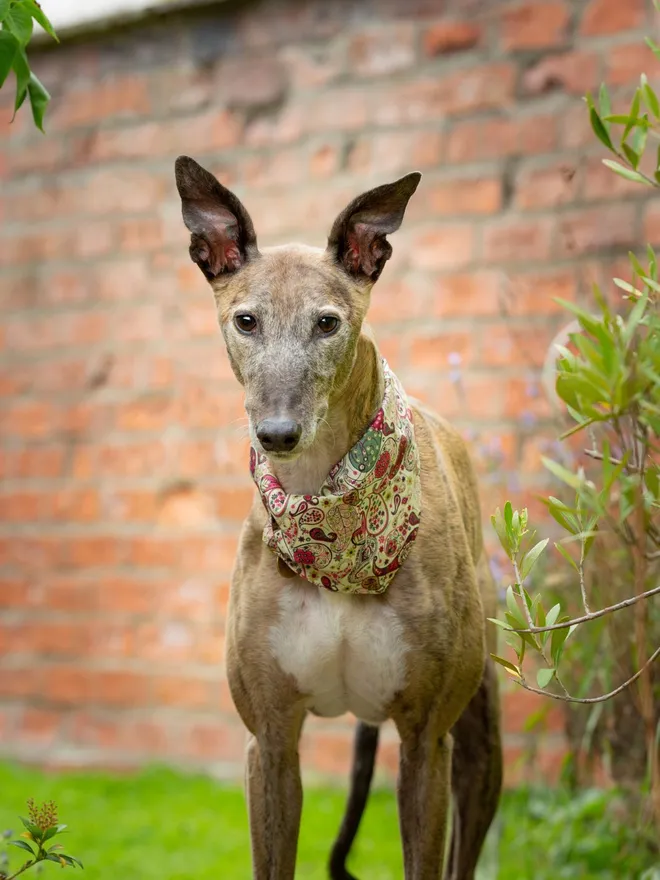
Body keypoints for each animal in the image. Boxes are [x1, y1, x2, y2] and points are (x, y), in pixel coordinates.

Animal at [174, 155, 500, 876]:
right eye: (246, 320)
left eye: (326, 323)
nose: (277, 434)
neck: (330, 516)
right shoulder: (270, 742)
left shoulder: (424, 742)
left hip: (478, 749)